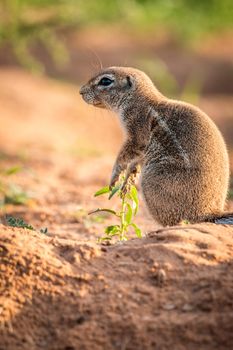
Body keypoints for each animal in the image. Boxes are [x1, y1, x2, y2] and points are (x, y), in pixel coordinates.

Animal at [79, 66, 231, 226]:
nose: (81, 91)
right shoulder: (141, 149)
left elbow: (124, 155)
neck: (136, 99)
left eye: (105, 81)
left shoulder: (137, 133)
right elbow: (135, 161)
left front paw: (115, 177)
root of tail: (208, 212)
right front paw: (129, 179)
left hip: (150, 181)